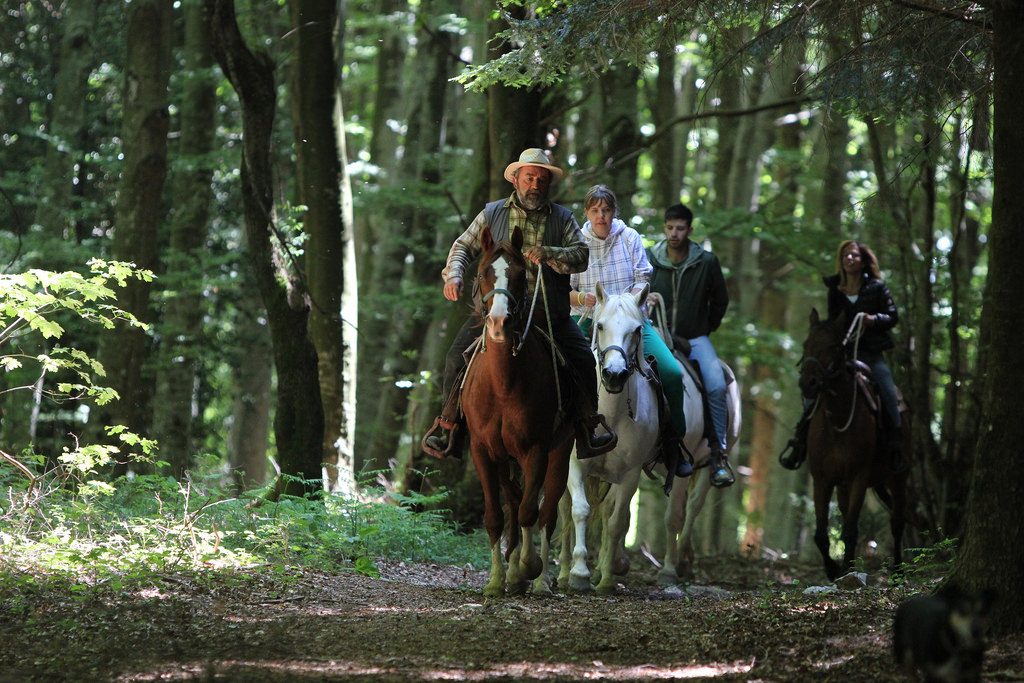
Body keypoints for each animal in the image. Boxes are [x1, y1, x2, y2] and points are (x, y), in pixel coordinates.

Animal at [462, 227, 577, 593]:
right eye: (483, 273)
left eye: (517, 275)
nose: (499, 321)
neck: (503, 385)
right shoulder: (482, 450)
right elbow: (495, 515)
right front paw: (497, 580)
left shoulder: (536, 449)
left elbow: (530, 511)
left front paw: (530, 566)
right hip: (504, 458)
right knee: (513, 500)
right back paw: (512, 572)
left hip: (560, 450)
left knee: (547, 511)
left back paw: (540, 580)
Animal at [552, 282, 663, 593]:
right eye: (600, 326)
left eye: (637, 329)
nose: (614, 375)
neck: (610, 415)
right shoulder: (575, 465)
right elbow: (580, 511)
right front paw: (578, 573)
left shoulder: (630, 474)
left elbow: (616, 522)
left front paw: (606, 580)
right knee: (565, 510)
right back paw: (562, 573)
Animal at [794, 309, 909, 581]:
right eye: (806, 344)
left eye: (833, 347)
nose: (808, 384)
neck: (837, 418)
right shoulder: (823, 480)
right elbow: (822, 534)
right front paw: (834, 569)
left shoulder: (859, 476)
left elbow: (850, 530)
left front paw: (845, 569)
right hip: (845, 485)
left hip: (897, 477)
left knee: (897, 520)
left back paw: (898, 568)